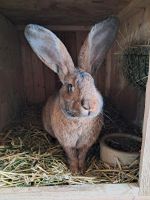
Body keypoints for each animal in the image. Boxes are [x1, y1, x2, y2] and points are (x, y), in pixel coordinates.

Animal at [24, 16, 118, 173]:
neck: (79, 120)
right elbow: (72, 156)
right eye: (69, 86)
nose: (89, 105)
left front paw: (83, 170)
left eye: (93, 83)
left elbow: (82, 156)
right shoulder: (67, 143)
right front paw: (74, 171)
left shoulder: (86, 144)